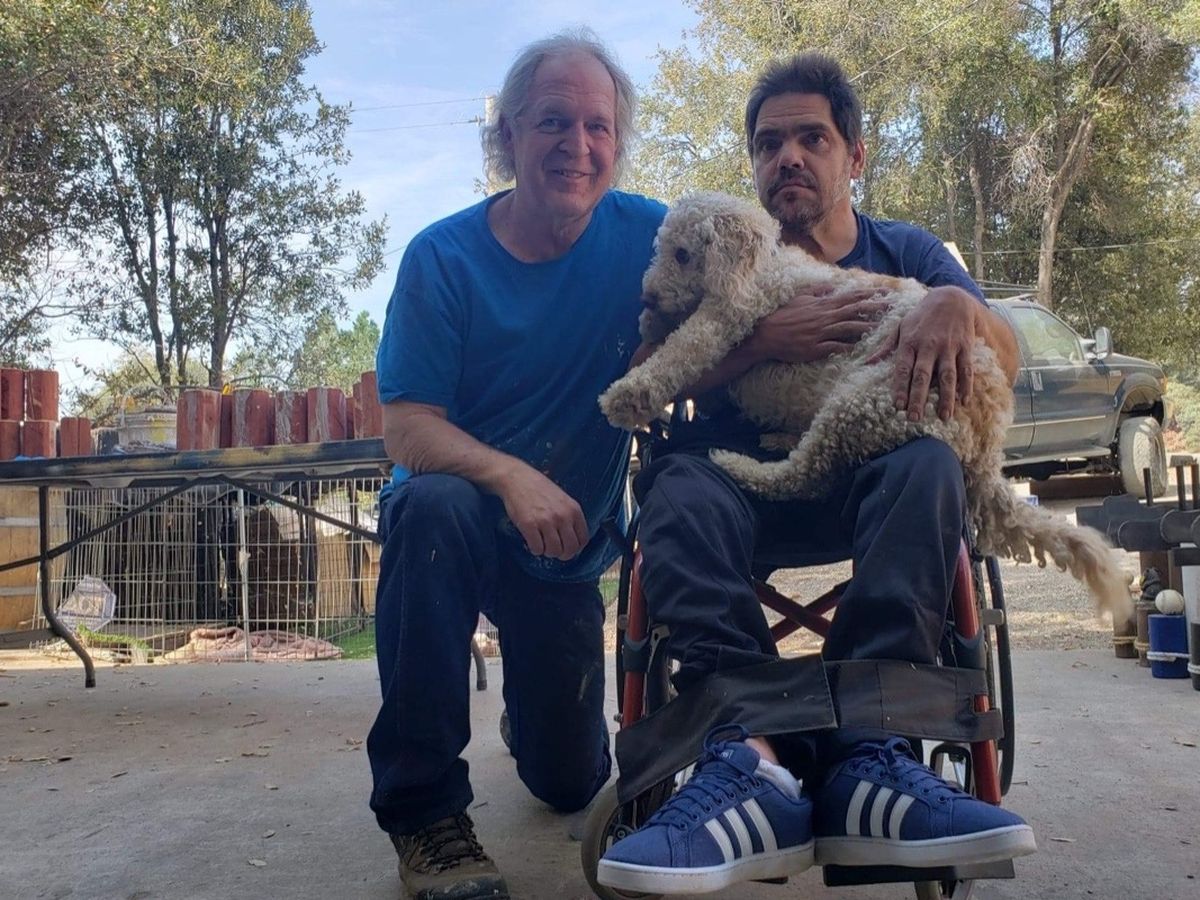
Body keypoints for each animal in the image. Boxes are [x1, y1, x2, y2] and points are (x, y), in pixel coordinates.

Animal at [599, 191, 1131, 621]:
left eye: (684, 253)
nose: (648, 294)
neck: (761, 267)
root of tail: (988, 448)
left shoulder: (729, 316)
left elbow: (683, 350)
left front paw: (627, 394)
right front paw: (651, 325)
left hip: (870, 398)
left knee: (806, 475)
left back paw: (738, 463)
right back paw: (778, 436)